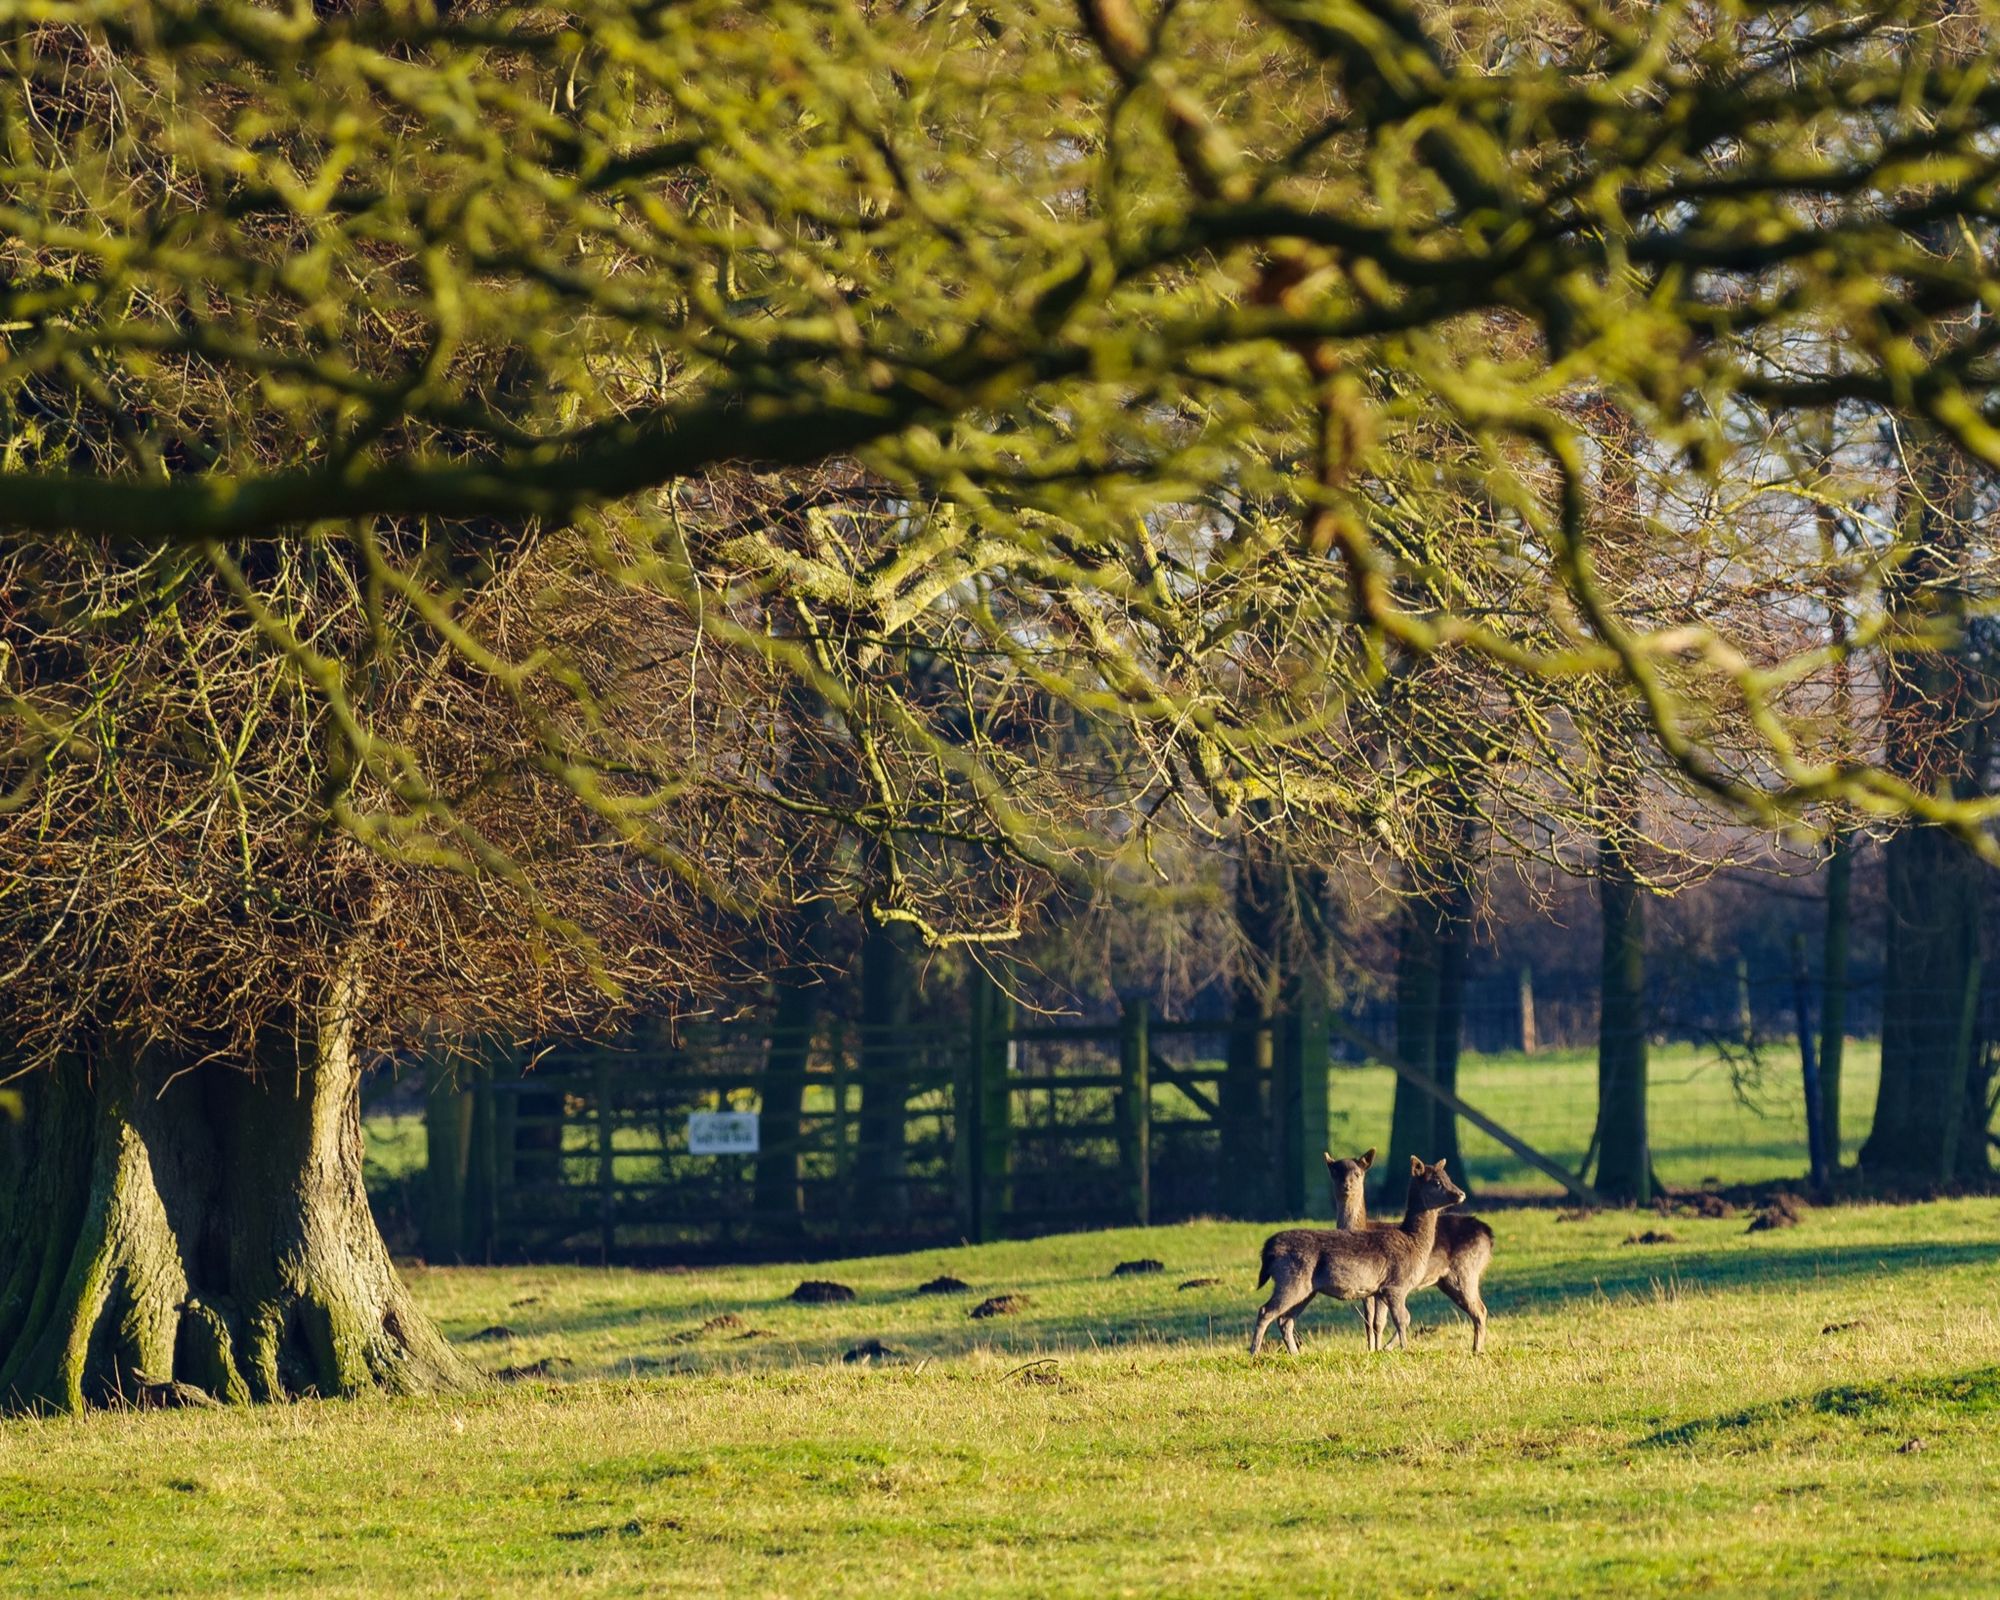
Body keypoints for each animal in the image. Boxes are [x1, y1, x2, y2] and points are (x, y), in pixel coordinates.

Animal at [1250, 1156, 1466, 1355]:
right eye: (1436, 1182)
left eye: (1448, 1177)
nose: (1461, 1194)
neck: (1414, 1242)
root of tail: (1269, 1249)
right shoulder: (1395, 1284)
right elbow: (1402, 1318)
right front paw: (1405, 1349)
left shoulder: (1381, 1290)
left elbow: (1387, 1320)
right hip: (1291, 1279)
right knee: (1266, 1311)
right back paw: (1254, 1353)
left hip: (1306, 1289)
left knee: (1285, 1319)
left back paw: (1295, 1354)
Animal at [1324, 1147, 1493, 1353]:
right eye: (1335, 1173)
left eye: (1357, 1173)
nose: (1346, 1186)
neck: (1362, 1227)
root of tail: (1488, 1233)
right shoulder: (1368, 1289)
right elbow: (1368, 1321)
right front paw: (1371, 1349)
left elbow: (1378, 1322)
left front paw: (1377, 1349)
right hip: (1449, 1280)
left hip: (1465, 1271)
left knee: (1480, 1310)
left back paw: (1476, 1349)